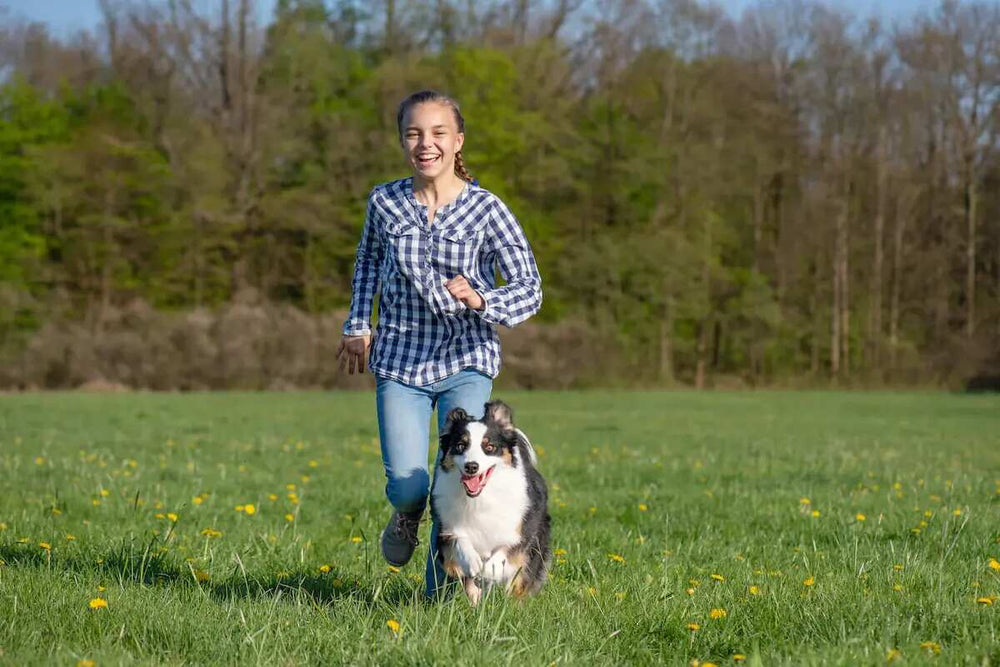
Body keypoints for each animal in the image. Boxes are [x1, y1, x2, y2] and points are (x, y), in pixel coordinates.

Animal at [432, 400, 556, 608]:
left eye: (489, 447)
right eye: (460, 445)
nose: (471, 466)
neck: (480, 498)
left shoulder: (522, 531)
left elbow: (504, 553)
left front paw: (487, 571)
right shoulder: (445, 530)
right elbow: (459, 540)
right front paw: (472, 562)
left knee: (520, 583)